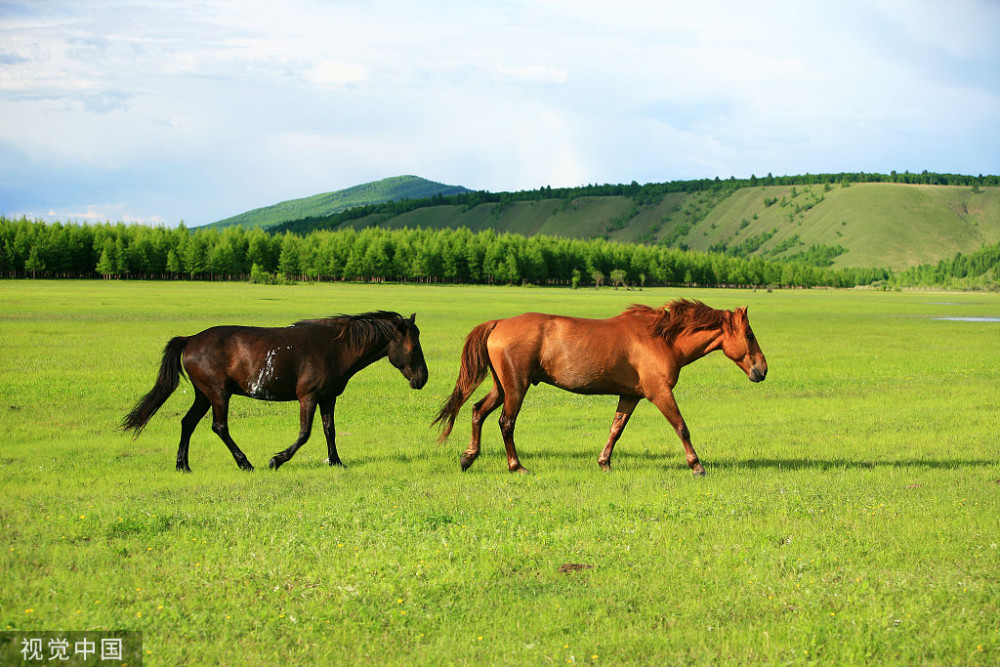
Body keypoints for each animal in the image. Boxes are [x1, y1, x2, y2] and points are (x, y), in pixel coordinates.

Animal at [122, 311, 428, 472]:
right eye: (413, 346)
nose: (423, 378)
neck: (335, 348)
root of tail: (190, 339)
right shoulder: (308, 397)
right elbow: (305, 434)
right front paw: (277, 459)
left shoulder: (328, 397)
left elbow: (329, 430)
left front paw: (336, 461)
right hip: (218, 394)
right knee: (219, 427)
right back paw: (244, 462)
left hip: (203, 395)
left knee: (188, 423)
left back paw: (182, 465)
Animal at [433, 299, 767, 476]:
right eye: (750, 335)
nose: (762, 370)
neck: (660, 338)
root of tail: (499, 323)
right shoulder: (660, 393)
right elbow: (681, 427)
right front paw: (696, 465)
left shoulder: (630, 396)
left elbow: (615, 429)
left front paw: (604, 462)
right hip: (516, 386)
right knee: (506, 422)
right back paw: (516, 466)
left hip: (502, 386)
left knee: (478, 411)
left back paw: (468, 457)